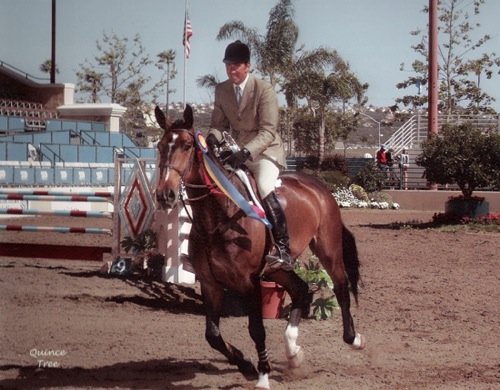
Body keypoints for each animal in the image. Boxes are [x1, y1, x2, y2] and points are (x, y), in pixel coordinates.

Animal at [154, 105, 366, 388]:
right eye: (159, 146)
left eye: (187, 146)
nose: (164, 195)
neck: (218, 218)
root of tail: (318, 186)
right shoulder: (210, 283)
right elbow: (212, 334)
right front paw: (246, 365)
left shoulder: (250, 282)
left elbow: (257, 329)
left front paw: (262, 375)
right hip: (277, 268)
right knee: (301, 290)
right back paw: (293, 353)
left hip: (327, 248)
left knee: (341, 286)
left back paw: (353, 339)